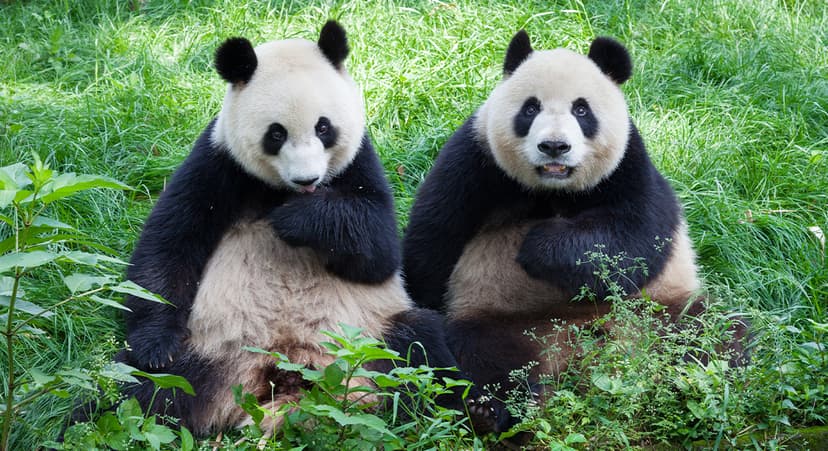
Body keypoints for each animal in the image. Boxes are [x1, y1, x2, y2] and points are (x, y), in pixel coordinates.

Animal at [114, 21, 486, 437]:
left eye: (324, 127)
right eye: (275, 134)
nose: (307, 179)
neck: (279, 190)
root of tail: (287, 377)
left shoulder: (359, 162)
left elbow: (380, 252)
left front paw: (296, 220)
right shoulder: (219, 161)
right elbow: (171, 242)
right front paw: (156, 347)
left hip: (372, 336)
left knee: (420, 353)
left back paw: (467, 414)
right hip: (208, 349)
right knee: (140, 388)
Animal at [402, 32, 727, 432]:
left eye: (581, 111)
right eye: (530, 109)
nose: (554, 146)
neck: (553, 189)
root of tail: (577, 356)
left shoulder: (629, 165)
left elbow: (634, 238)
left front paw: (540, 246)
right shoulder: (476, 160)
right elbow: (433, 236)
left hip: (657, 310)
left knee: (709, 335)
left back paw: (695, 384)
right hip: (501, 320)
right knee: (484, 354)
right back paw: (490, 412)